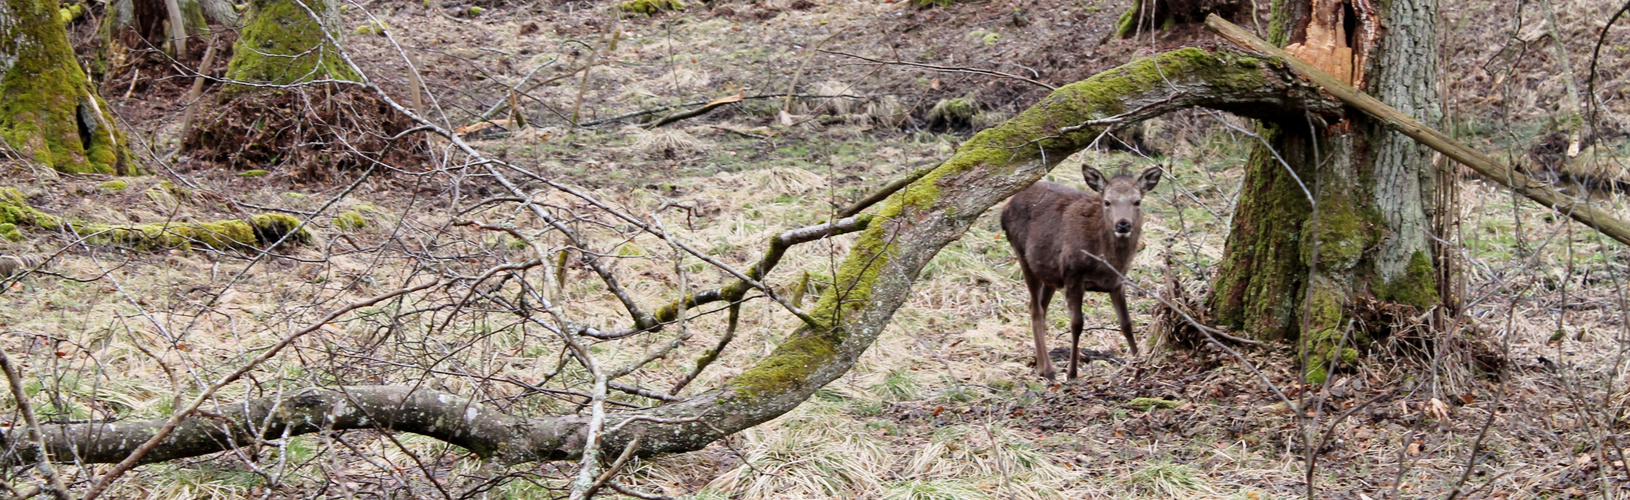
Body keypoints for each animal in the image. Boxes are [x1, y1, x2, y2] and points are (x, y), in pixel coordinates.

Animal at [991, 162, 1160, 382]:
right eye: (1107, 202)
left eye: (1137, 201)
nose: (1123, 224)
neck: (1104, 259)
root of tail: (1006, 206)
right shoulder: (1073, 275)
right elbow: (1077, 324)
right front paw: (1072, 372)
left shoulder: (1117, 282)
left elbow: (1127, 323)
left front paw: (1139, 364)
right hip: (1023, 255)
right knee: (1035, 308)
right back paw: (1048, 369)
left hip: (1051, 273)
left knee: (1040, 307)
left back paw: (1040, 366)